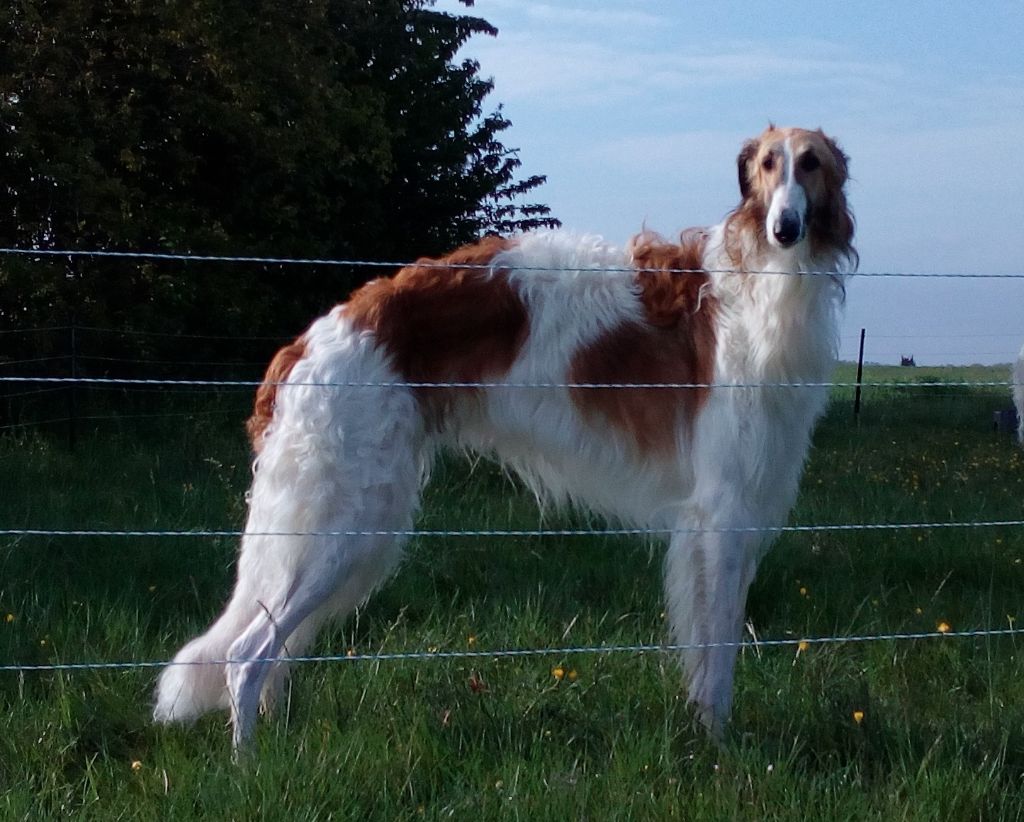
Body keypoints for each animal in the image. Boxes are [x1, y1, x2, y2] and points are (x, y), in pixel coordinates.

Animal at [151, 125, 856, 749]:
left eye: (811, 164)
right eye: (767, 164)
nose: (785, 228)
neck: (759, 285)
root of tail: (317, 337)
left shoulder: (739, 515)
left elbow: (717, 649)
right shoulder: (721, 515)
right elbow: (718, 658)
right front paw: (720, 752)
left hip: (350, 525)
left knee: (273, 654)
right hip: (343, 524)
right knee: (247, 655)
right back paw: (249, 768)